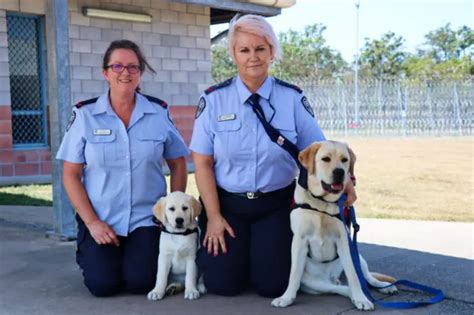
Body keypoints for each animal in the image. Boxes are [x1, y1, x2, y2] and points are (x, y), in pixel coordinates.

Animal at [270, 141, 396, 312]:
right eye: (325, 159)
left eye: (344, 160)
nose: (340, 172)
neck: (322, 203)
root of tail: (332, 277)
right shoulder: (299, 241)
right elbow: (294, 274)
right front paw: (286, 297)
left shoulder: (344, 242)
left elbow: (353, 276)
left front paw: (361, 298)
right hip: (316, 284)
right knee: (341, 288)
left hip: (358, 256)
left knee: (367, 278)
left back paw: (384, 286)